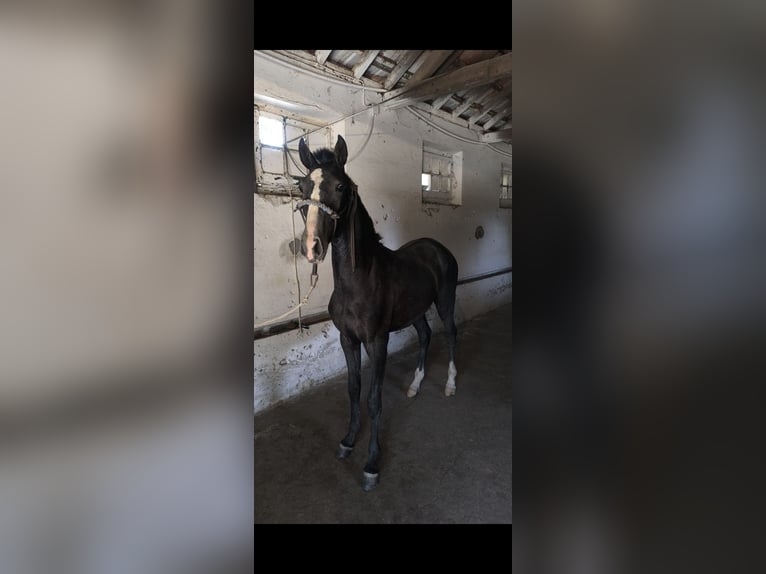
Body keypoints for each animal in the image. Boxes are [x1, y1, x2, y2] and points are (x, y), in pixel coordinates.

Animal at [295, 135, 459, 491]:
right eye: (302, 186)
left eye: (340, 186)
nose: (312, 247)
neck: (358, 280)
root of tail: (439, 249)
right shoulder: (348, 340)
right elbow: (353, 390)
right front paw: (347, 441)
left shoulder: (377, 342)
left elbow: (373, 399)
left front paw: (371, 464)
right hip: (415, 311)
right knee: (426, 335)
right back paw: (415, 385)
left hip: (445, 302)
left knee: (451, 334)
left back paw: (451, 384)